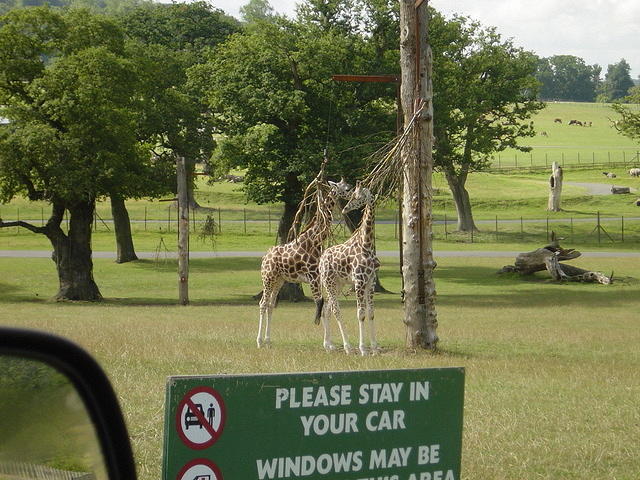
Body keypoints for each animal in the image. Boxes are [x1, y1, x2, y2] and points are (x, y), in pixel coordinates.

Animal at [258, 178, 352, 346]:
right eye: (346, 188)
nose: (353, 192)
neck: (315, 240)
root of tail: (264, 258)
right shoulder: (313, 278)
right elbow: (320, 305)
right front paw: (327, 344)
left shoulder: (319, 278)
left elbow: (324, 306)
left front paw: (329, 343)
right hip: (267, 278)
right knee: (262, 303)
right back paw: (259, 341)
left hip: (279, 280)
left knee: (270, 304)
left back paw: (268, 340)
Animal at [320, 182, 380, 354]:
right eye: (351, 194)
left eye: (357, 196)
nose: (345, 209)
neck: (367, 244)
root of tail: (321, 260)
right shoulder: (359, 281)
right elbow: (360, 314)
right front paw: (363, 349)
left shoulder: (371, 281)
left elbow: (371, 313)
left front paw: (375, 348)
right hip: (328, 282)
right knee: (335, 310)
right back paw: (347, 347)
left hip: (338, 284)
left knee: (326, 309)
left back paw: (329, 345)